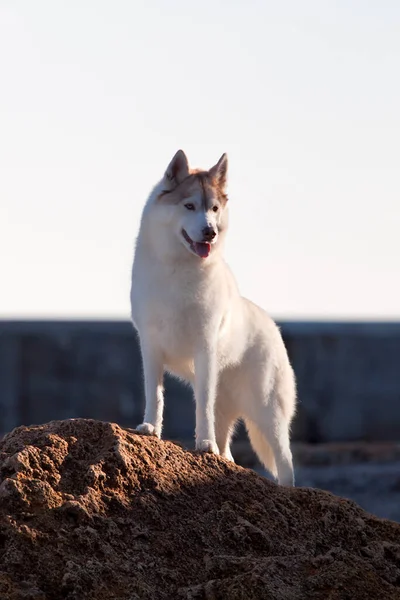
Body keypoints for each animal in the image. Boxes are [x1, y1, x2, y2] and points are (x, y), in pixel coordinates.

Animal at [130, 150, 296, 482]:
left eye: (214, 209)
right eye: (189, 205)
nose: (210, 231)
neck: (178, 270)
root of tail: (272, 325)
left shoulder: (205, 348)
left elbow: (202, 406)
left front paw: (203, 444)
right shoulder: (150, 346)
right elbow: (154, 395)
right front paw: (150, 428)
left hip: (267, 412)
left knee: (285, 463)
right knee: (229, 450)